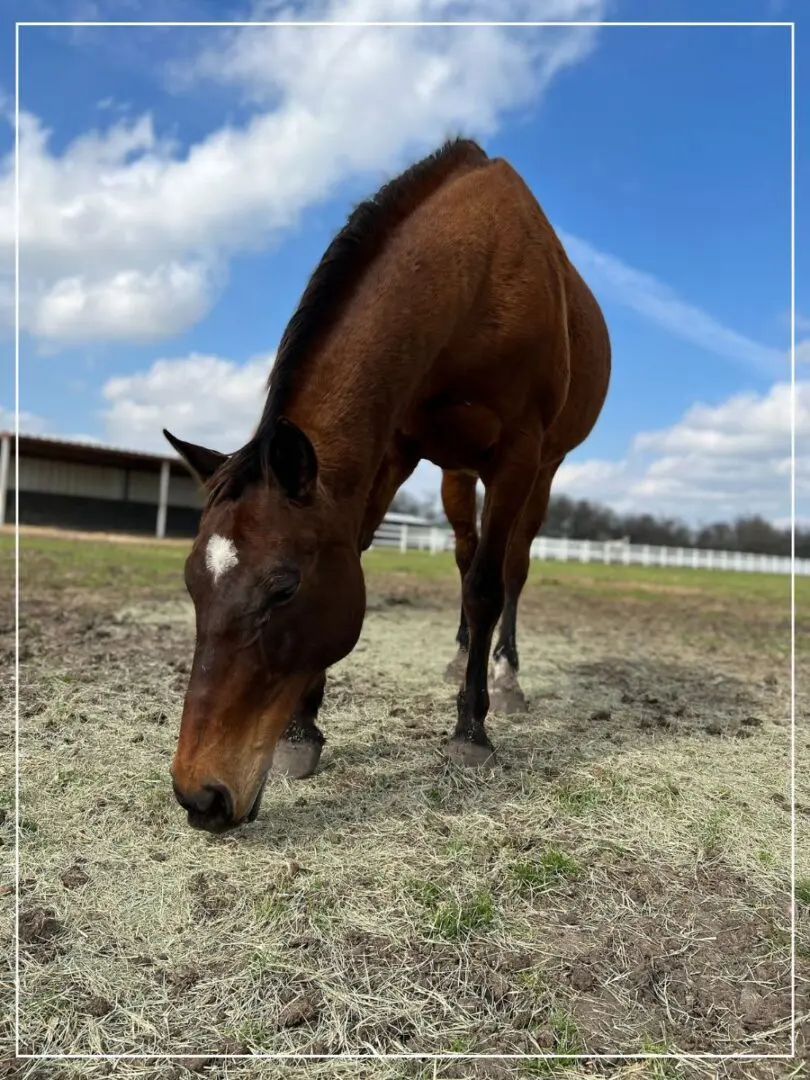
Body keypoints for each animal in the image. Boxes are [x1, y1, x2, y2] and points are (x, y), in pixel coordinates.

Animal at [165, 139, 609, 833]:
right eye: (191, 584)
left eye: (283, 588)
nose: (199, 796)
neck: (476, 270)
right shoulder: (396, 448)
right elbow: (367, 549)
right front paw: (302, 731)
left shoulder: (519, 454)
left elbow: (489, 585)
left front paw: (471, 732)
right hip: (456, 470)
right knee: (464, 554)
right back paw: (460, 656)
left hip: (544, 470)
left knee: (508, 568)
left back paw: (504, 677)